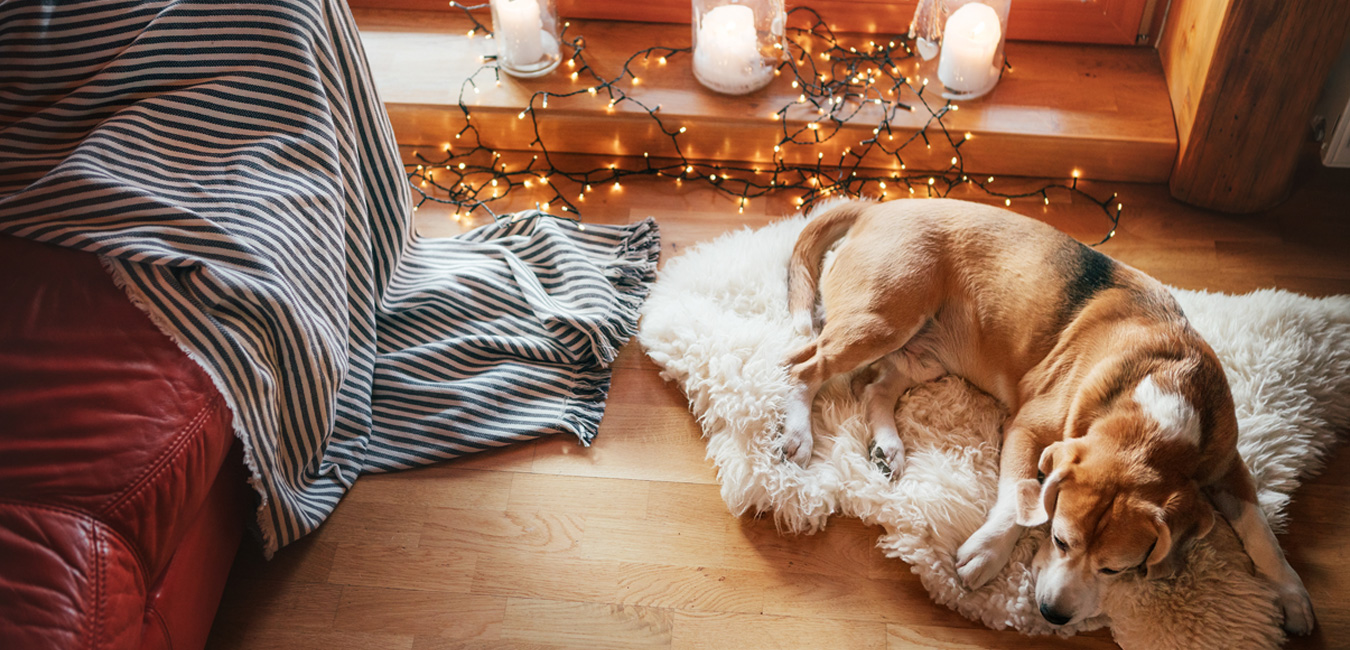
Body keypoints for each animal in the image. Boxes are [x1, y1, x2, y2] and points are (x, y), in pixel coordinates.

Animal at [783, 198, 1317, 632]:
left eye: (1115, 569)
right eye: (1060, 542)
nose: (1052, 615)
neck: (1163, 400)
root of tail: (879, 207)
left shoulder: (1228, 465)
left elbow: (1261, 533)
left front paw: (1293, 596)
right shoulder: (1029, 429)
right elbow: (1021, 497)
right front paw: (986, 553)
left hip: (925, 354)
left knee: (875, 387)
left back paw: (888, 447)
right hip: (884, 318)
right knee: (803, 367)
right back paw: (797, 434)